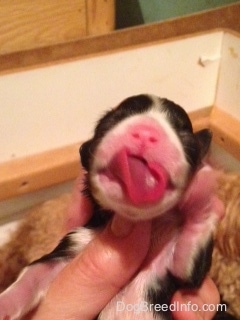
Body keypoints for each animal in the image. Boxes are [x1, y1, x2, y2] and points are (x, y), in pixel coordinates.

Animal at [0, 94, 222, 318]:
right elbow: (34, 270)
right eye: (114, 120)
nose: (145, 132)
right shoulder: (74, 243)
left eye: (183, 134)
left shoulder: (181, 271)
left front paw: (201, 194)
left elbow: (188, 261)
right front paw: (6, 302)